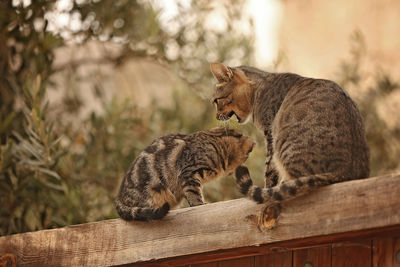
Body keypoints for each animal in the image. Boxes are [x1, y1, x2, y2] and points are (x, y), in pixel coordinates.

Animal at [211, 62, 370, 205]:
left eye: (216, 100)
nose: (216, 117)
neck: (258, 90)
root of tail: (347, 170)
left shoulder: (270, 134)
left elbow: (269, 170)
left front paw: (269, 188)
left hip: (284, 145)